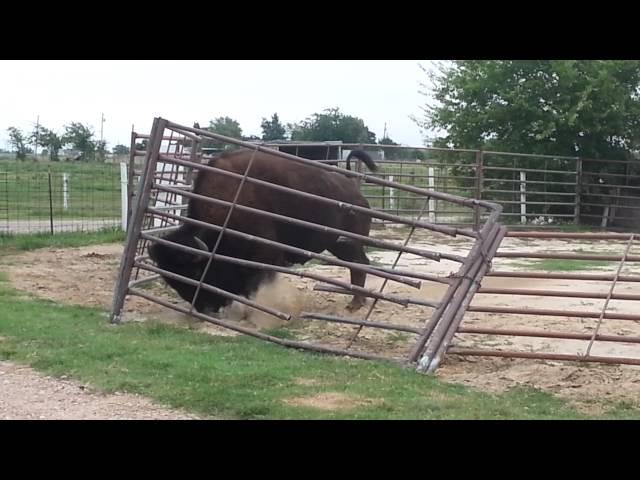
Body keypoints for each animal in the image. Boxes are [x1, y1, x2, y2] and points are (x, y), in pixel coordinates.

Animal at [148, 148, 378, 316]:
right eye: (171, 280)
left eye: (196, 272)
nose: (205, 309)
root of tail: (355, 191)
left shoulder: (264, 257)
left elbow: (256, 287)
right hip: (338, 245)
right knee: (358, 264)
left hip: (347, 243)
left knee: (359, 264)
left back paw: (355, 304)